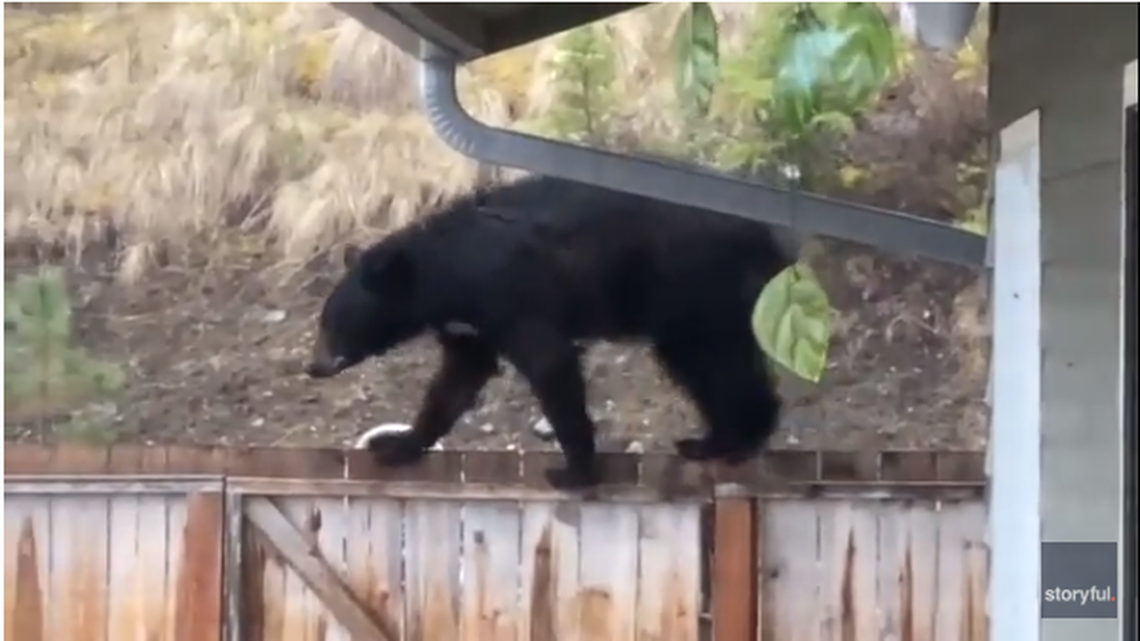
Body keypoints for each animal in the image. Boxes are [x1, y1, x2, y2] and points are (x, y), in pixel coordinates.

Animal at [305, 174, 793, 490]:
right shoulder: (468, 323)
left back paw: (736, 439)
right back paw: (714, 440)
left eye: (332, 323)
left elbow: (548, 360)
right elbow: (459, 377)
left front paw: (573, 470)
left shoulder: (508, 295)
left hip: (696, 286)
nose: (313, 366)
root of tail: (770, 239)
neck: (442, 273)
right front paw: (398, 444)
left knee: (717, 362)